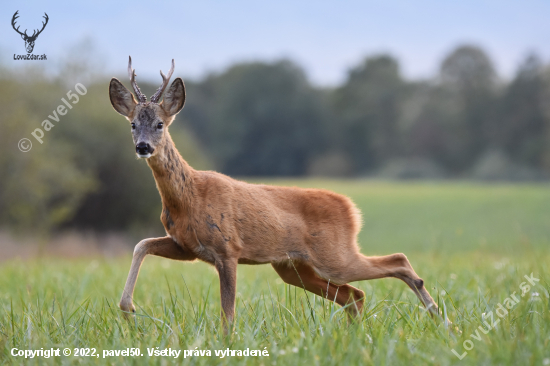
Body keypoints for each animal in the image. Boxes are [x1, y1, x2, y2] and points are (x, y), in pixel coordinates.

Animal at [110, 55, 446, 330]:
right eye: (132, 124)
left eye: (160, 124)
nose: (143, 147)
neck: (189, 197)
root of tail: (351, 208)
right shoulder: (187, 247)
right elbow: (141, 245)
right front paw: (128, 309)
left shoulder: (227, 248)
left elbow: (228, 314)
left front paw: (227, 343)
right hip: (293, 267)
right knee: (355, 295)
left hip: (333, 256)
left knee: (396, 261)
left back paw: (441, 321)